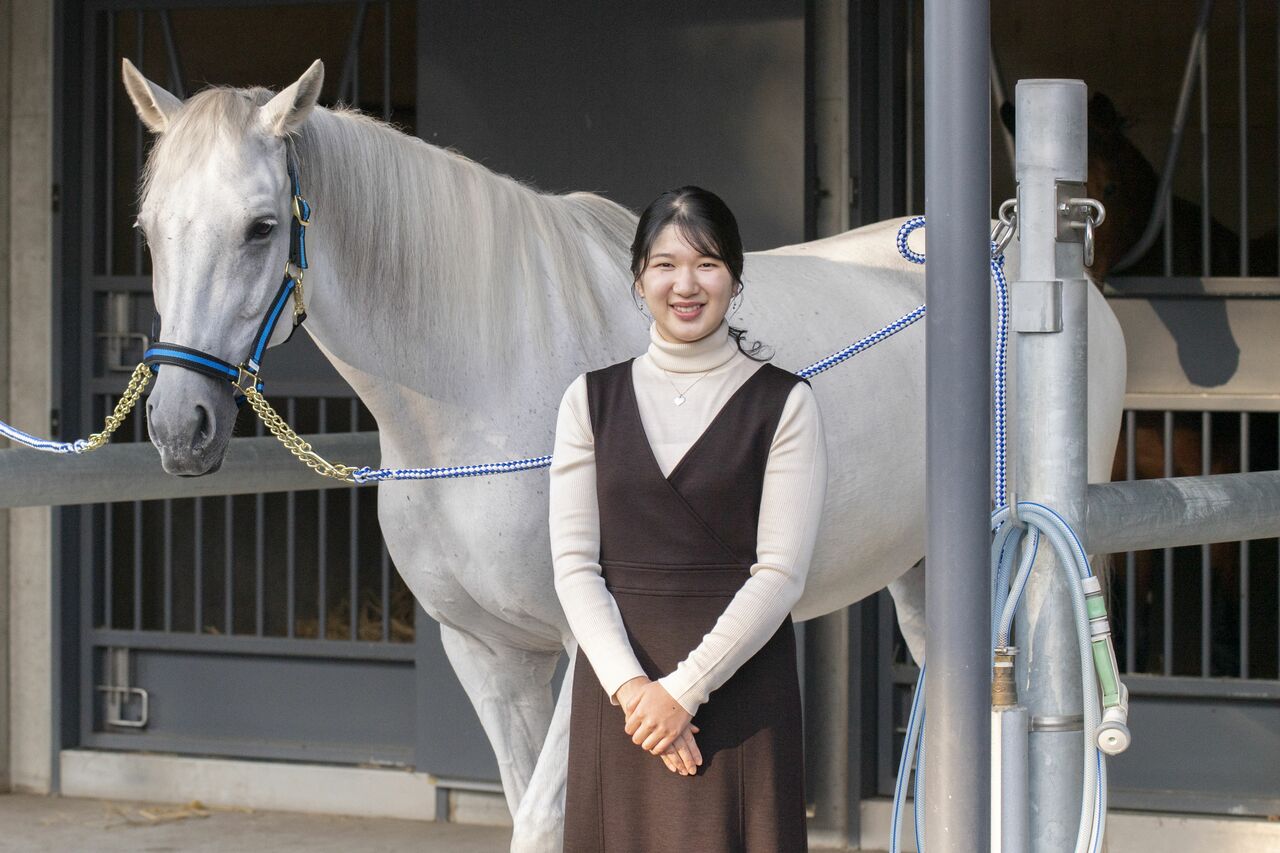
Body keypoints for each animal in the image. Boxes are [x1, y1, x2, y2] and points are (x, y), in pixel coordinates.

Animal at [120, 61, 1121, 850]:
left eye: (260, 227)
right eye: (148, 229)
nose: (179, 426)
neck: (483, 388)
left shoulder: (588, 647)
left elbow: (542, 820)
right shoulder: (486, 652)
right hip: (919, 573)